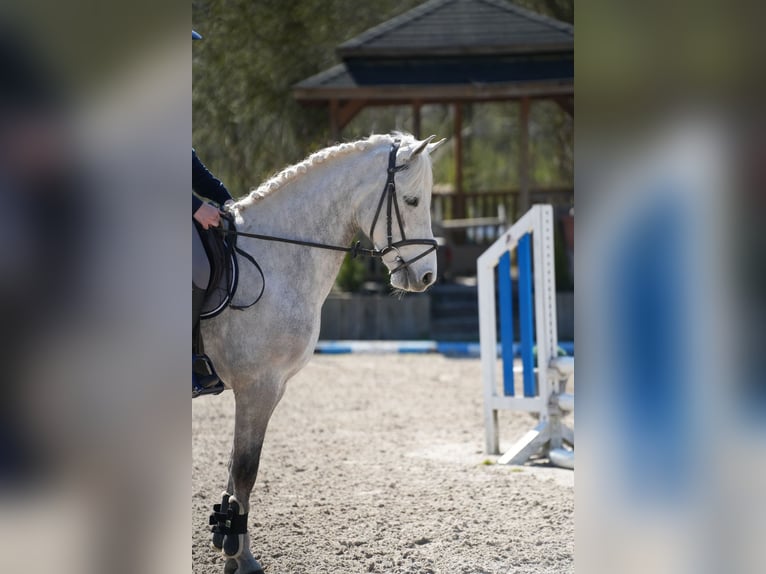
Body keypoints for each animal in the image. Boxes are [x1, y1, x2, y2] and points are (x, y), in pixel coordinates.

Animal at [201, 133, 445, 574]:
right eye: (413, 200)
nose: (427, 276)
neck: (275, 259)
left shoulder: (265, 389)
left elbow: (233, 469)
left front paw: (227, 544)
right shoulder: (258, 387)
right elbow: (245, 471)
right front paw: (242, 557)